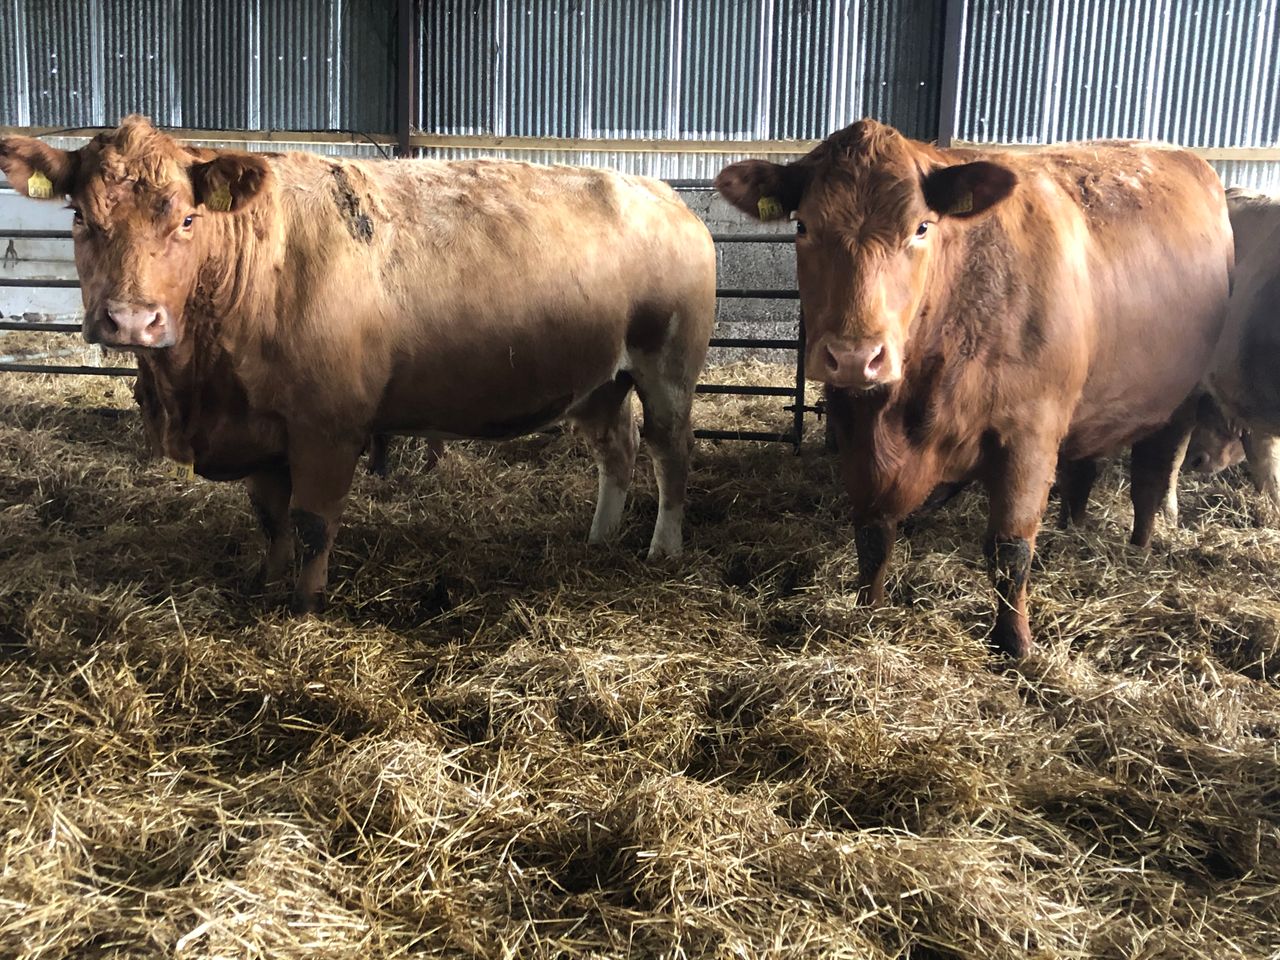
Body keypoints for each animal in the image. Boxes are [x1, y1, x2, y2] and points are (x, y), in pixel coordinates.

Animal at [0, 116, 715, 612]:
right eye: (79, 216)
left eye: (186, 219)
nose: (129, 320)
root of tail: (664, 194)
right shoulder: (260, 429)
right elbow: (270, 517)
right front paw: (266, 584)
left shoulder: (327, 427)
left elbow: (313, 522)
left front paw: (306, 605)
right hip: (599, 382)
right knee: (616, 450)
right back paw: (599, 539)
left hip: (666, 368)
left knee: (669, 450)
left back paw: (663, 548)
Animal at [716, 119, 1232, 657]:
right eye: (802, 227)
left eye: (921, 227)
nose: (856, 357)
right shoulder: (855, 429)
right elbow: (873, 534)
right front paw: (868, 611)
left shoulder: (1031, 433)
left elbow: (1010, 549)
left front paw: (1014, 643)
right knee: (1083, 472)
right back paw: (1074, 529)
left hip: (1179, 401)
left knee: (1151, 479)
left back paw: (1139, 548)